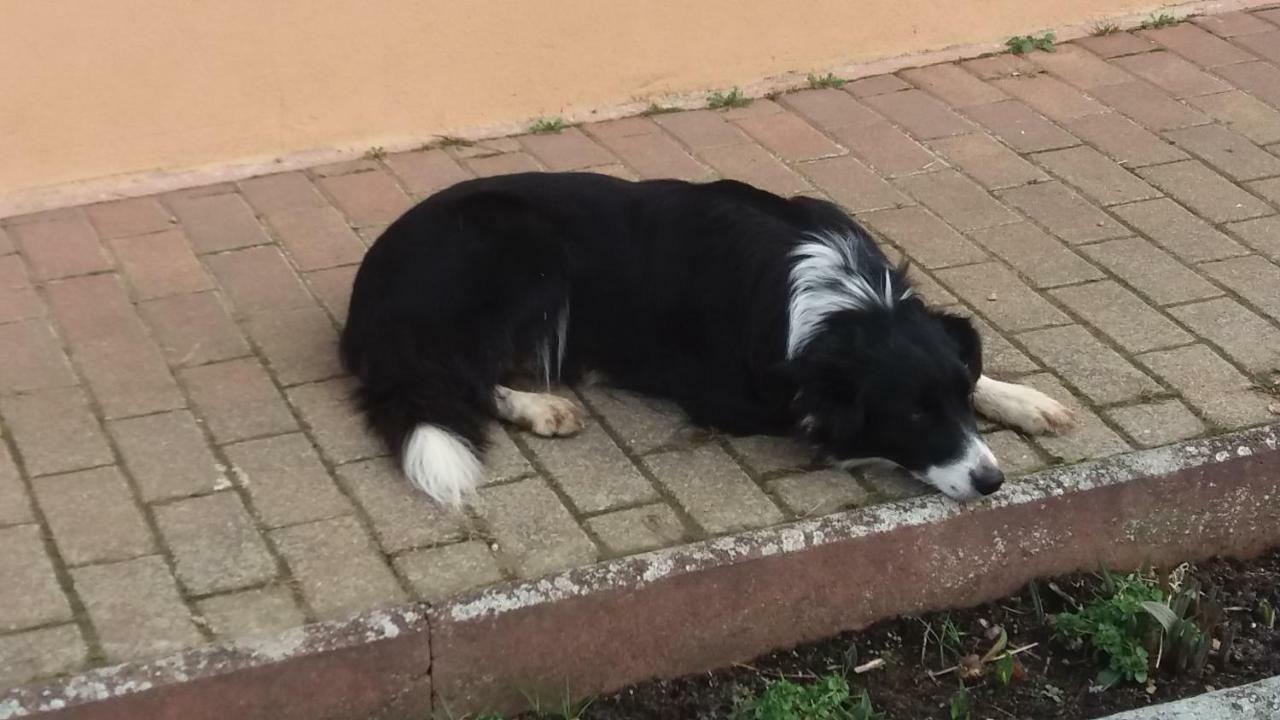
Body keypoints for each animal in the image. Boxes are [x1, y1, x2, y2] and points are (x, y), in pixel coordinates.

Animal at [337, 170, 1070, 504]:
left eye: (957, 399)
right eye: (913, 416)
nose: (992, 481)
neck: (845, 304)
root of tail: (367, 290)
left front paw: (1021, 398)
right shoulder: (739, 399)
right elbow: (833, 429)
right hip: (525, 254)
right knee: (461, 375)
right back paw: (540, 405)